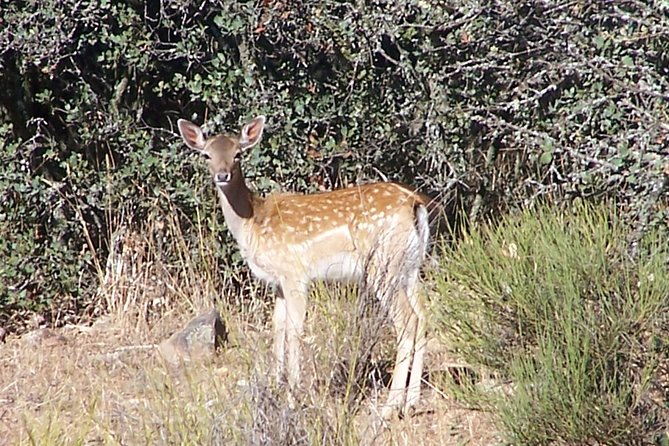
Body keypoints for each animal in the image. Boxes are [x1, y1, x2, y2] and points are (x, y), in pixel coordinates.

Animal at [176, 115, 428, 418]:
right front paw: (276, 385)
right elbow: (277, 327)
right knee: (423, 316)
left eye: (238, 154)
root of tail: (416, 205)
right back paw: (412, 401)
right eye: (206, 155)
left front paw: (293, 396)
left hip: (383, 265)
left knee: (407, 320)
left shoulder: (294, 274)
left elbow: (294, 331)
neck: (252, 223)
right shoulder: (278, 283)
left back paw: (390, 406)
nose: (222, 175)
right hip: (410, 266)